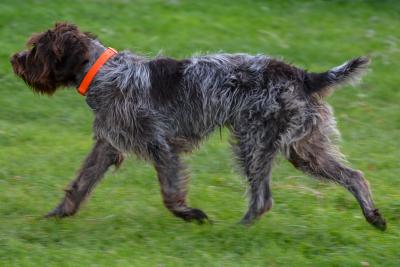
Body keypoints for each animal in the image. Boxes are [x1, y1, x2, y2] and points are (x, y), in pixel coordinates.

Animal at [10, 23, 386, 230]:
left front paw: (191, 215)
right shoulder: (108, 145)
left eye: (37, 48)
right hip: (304, 149)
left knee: (262, 198)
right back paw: (374, 217)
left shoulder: (161, 145)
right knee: (354, 176)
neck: (103, 73)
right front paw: (54, 217)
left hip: (253, 143)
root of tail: (303, 75)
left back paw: (236, 230)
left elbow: (169, 195)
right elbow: (77, 187)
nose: (14, 58)